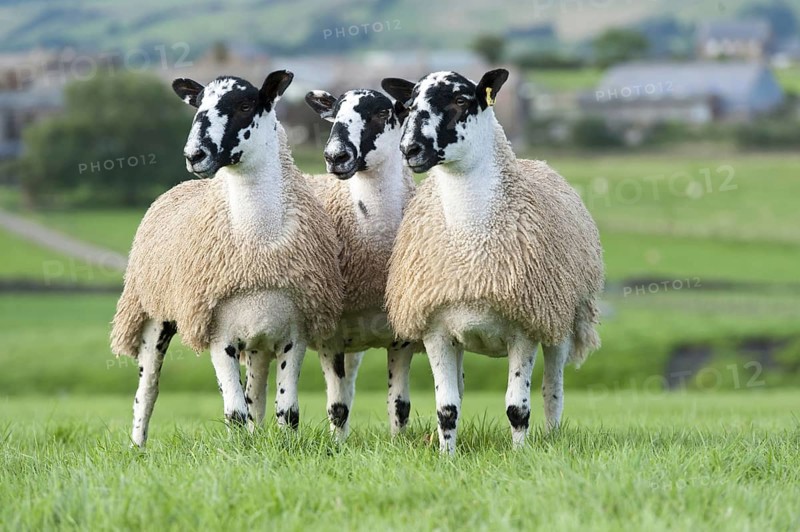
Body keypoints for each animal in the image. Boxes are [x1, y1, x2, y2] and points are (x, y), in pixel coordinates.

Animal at [110, 70, 344, 448]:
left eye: (246, 105)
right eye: (197, 106)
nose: (195, 154)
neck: (257, 245)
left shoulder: (295, 332)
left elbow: (287, 411)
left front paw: (284, 448)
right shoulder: (217, 333)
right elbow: (234, 412)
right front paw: (238, 452)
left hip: (259, 337)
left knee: (256, 393)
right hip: (151, 314)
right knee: (147, 390)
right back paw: (138, 446)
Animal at [303, 88, 420, 439]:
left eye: (382, 113)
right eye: (336, 115)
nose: (335, 156)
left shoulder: (401, 335)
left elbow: (400, 405)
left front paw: (398, 444)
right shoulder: (330, 337)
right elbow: (337, 407)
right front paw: (337, 446)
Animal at [381, 70, 604, 453]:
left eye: (461, 100)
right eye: (408, 105)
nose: (410, 149)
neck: (472, 248)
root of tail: (538, 163)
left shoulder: (525, 328)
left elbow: (518, 407)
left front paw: (519, 456)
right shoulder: (436, 329)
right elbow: (447, 407)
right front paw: (447, 457)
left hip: (558, 319)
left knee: (553, 390)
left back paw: (552, 437)